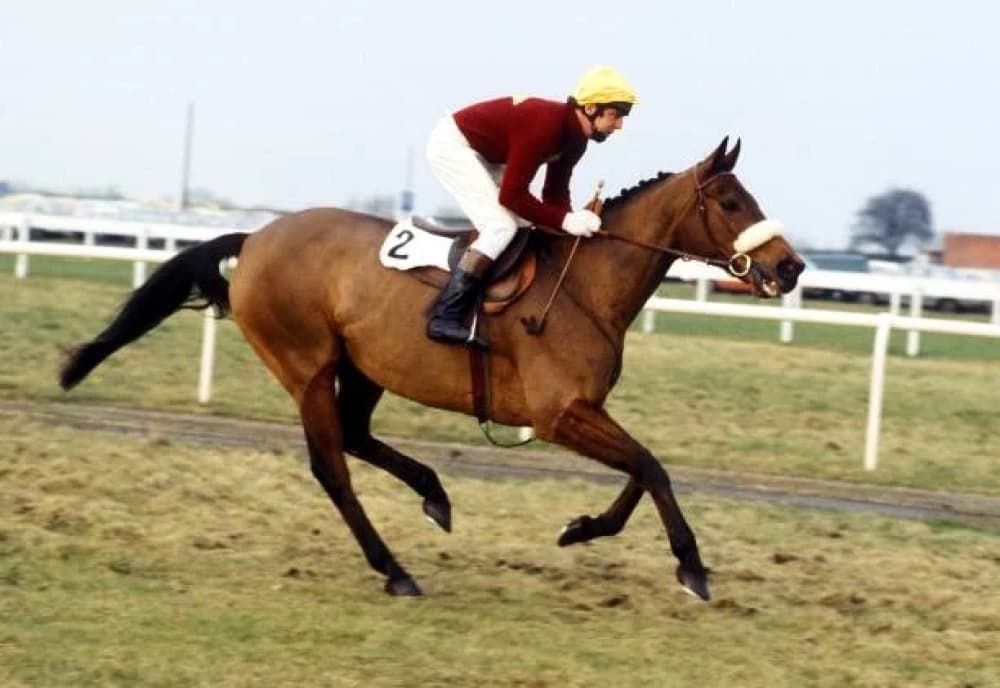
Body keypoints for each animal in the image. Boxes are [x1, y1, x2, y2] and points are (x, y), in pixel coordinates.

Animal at [59, 137, 804, 601]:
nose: (791, 266)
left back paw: (434, 493)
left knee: (356, 437)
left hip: (363, 367)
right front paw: (691, 566)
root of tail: (258, 236)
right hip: (307, 367)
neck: (585, 285)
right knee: (332, 466)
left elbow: (643, 469)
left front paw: (582, 529)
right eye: (732, 202)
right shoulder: (560, 415)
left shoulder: (579, 412)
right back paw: (394, 569)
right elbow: (651, 466)